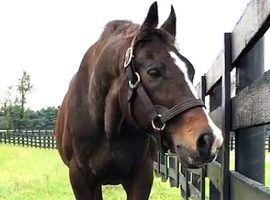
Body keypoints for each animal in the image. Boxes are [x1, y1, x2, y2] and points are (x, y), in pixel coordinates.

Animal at [54, 1, 224, 200]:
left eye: (191, 70)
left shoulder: (142, 176)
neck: (107, 128)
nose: (210, 139)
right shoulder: (81, 179)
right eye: (153, 72)